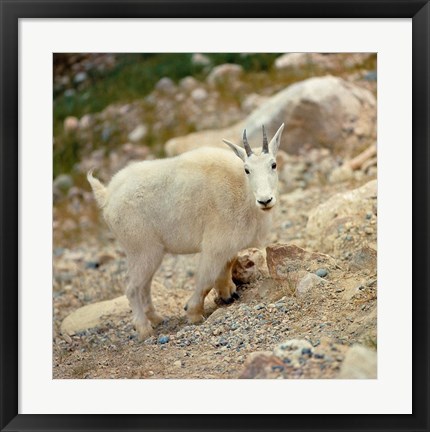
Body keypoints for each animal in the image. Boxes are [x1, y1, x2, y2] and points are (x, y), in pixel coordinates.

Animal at [86, 123, 284, 340]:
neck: (242, 189)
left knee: (144, 286)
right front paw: (194, 313)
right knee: (132, 289)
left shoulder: (228, 244)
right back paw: (144, 329)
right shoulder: (215, 244)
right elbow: (206, 280)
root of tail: (107, 196)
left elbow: (227, 265)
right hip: (142, 249)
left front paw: (228, 294)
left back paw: (156, 319)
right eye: (247, 170)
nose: (265, 200)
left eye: (273, 165)